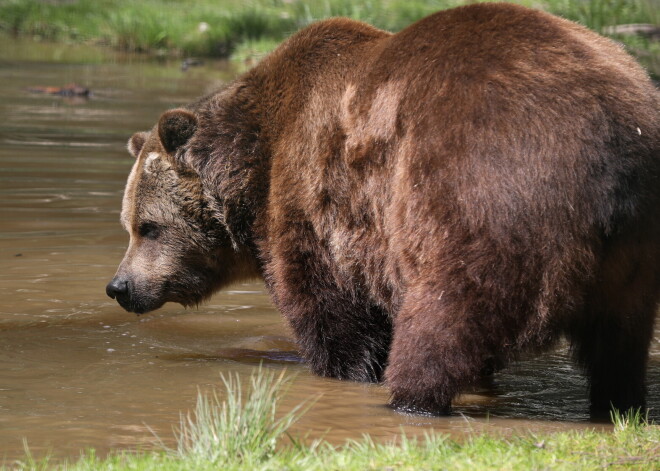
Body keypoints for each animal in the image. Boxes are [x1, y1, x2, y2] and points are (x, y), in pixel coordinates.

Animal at [105, 2, 656, 416]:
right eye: (130, 225)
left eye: (148, 227)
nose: (119, 287)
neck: (252, 162)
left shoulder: (315, 203)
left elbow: (331, 312)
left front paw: (342, 370)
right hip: (631, 253)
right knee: (621, 342)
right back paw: (617, 402)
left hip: (479, 191)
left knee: (447, 310)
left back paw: (411, 397)